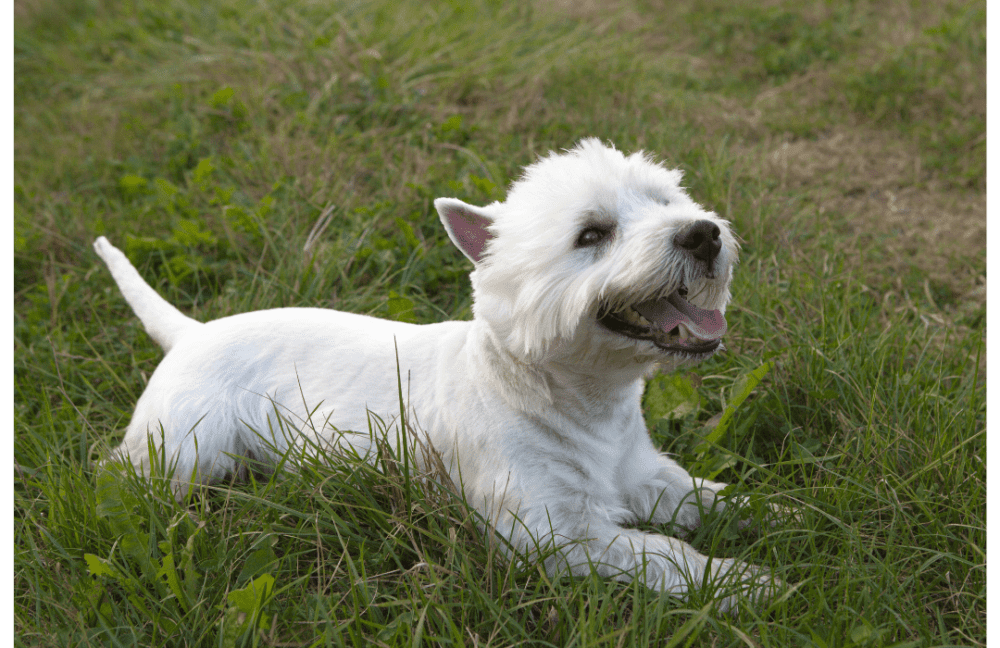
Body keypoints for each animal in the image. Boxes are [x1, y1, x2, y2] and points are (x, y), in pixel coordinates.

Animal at [95, 139, 772, 612]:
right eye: (592, 234)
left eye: (665, 201)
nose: (703, 233)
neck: (579, 401)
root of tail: (191, 332)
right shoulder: (553, 534)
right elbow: (663, 555)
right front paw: (744, 580)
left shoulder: (646, 477)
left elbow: (716, 498)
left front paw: (781, 516)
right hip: (179, 449)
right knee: (124, 477)